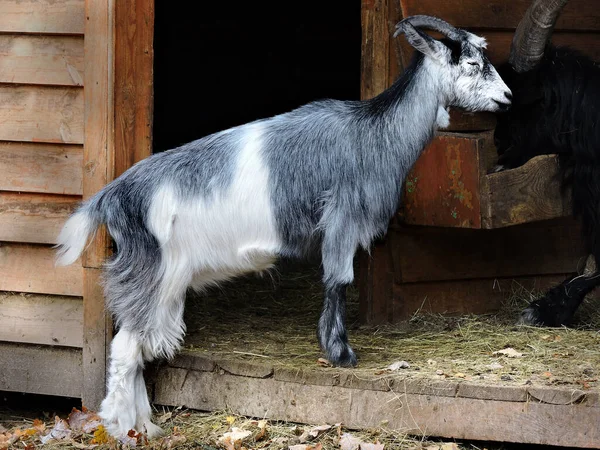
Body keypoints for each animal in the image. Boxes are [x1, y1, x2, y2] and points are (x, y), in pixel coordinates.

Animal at [55, 15, 510, 438]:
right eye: (471, 62)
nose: (506, 97)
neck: (372, 134)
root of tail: (111, 196)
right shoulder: (342, 218)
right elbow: (338, 280)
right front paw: (341, 353)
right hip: (152, 273)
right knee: (125, 348)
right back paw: (122, 428)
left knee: (136, 346)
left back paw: (145, 427)